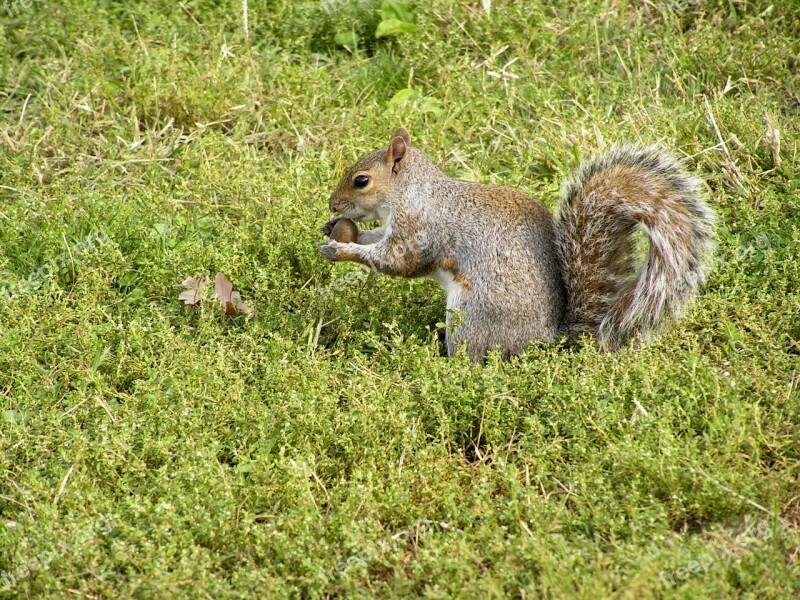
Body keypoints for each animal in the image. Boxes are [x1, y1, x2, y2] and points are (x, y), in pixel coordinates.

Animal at [320, 127, 720, 360]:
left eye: (361, 180)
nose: (332, 205)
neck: (411, 193)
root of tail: (548, 341)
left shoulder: (419, 231)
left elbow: (396, 261)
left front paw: (341, 249)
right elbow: (375, 238)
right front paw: (334, 230)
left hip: (472, 317)